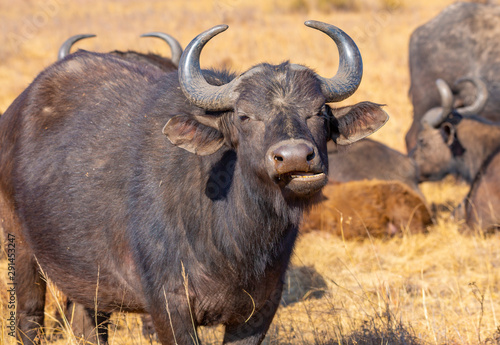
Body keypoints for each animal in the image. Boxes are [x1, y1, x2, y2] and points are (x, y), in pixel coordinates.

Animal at [0, 21, 386, 344]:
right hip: (21, 247)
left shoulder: (260, 309)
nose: (293, 157)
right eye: (244, 116)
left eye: (319, 112)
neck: (235, 240)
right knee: (29, 317)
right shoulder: (168, 306)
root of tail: (14, 113)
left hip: (87, 281)